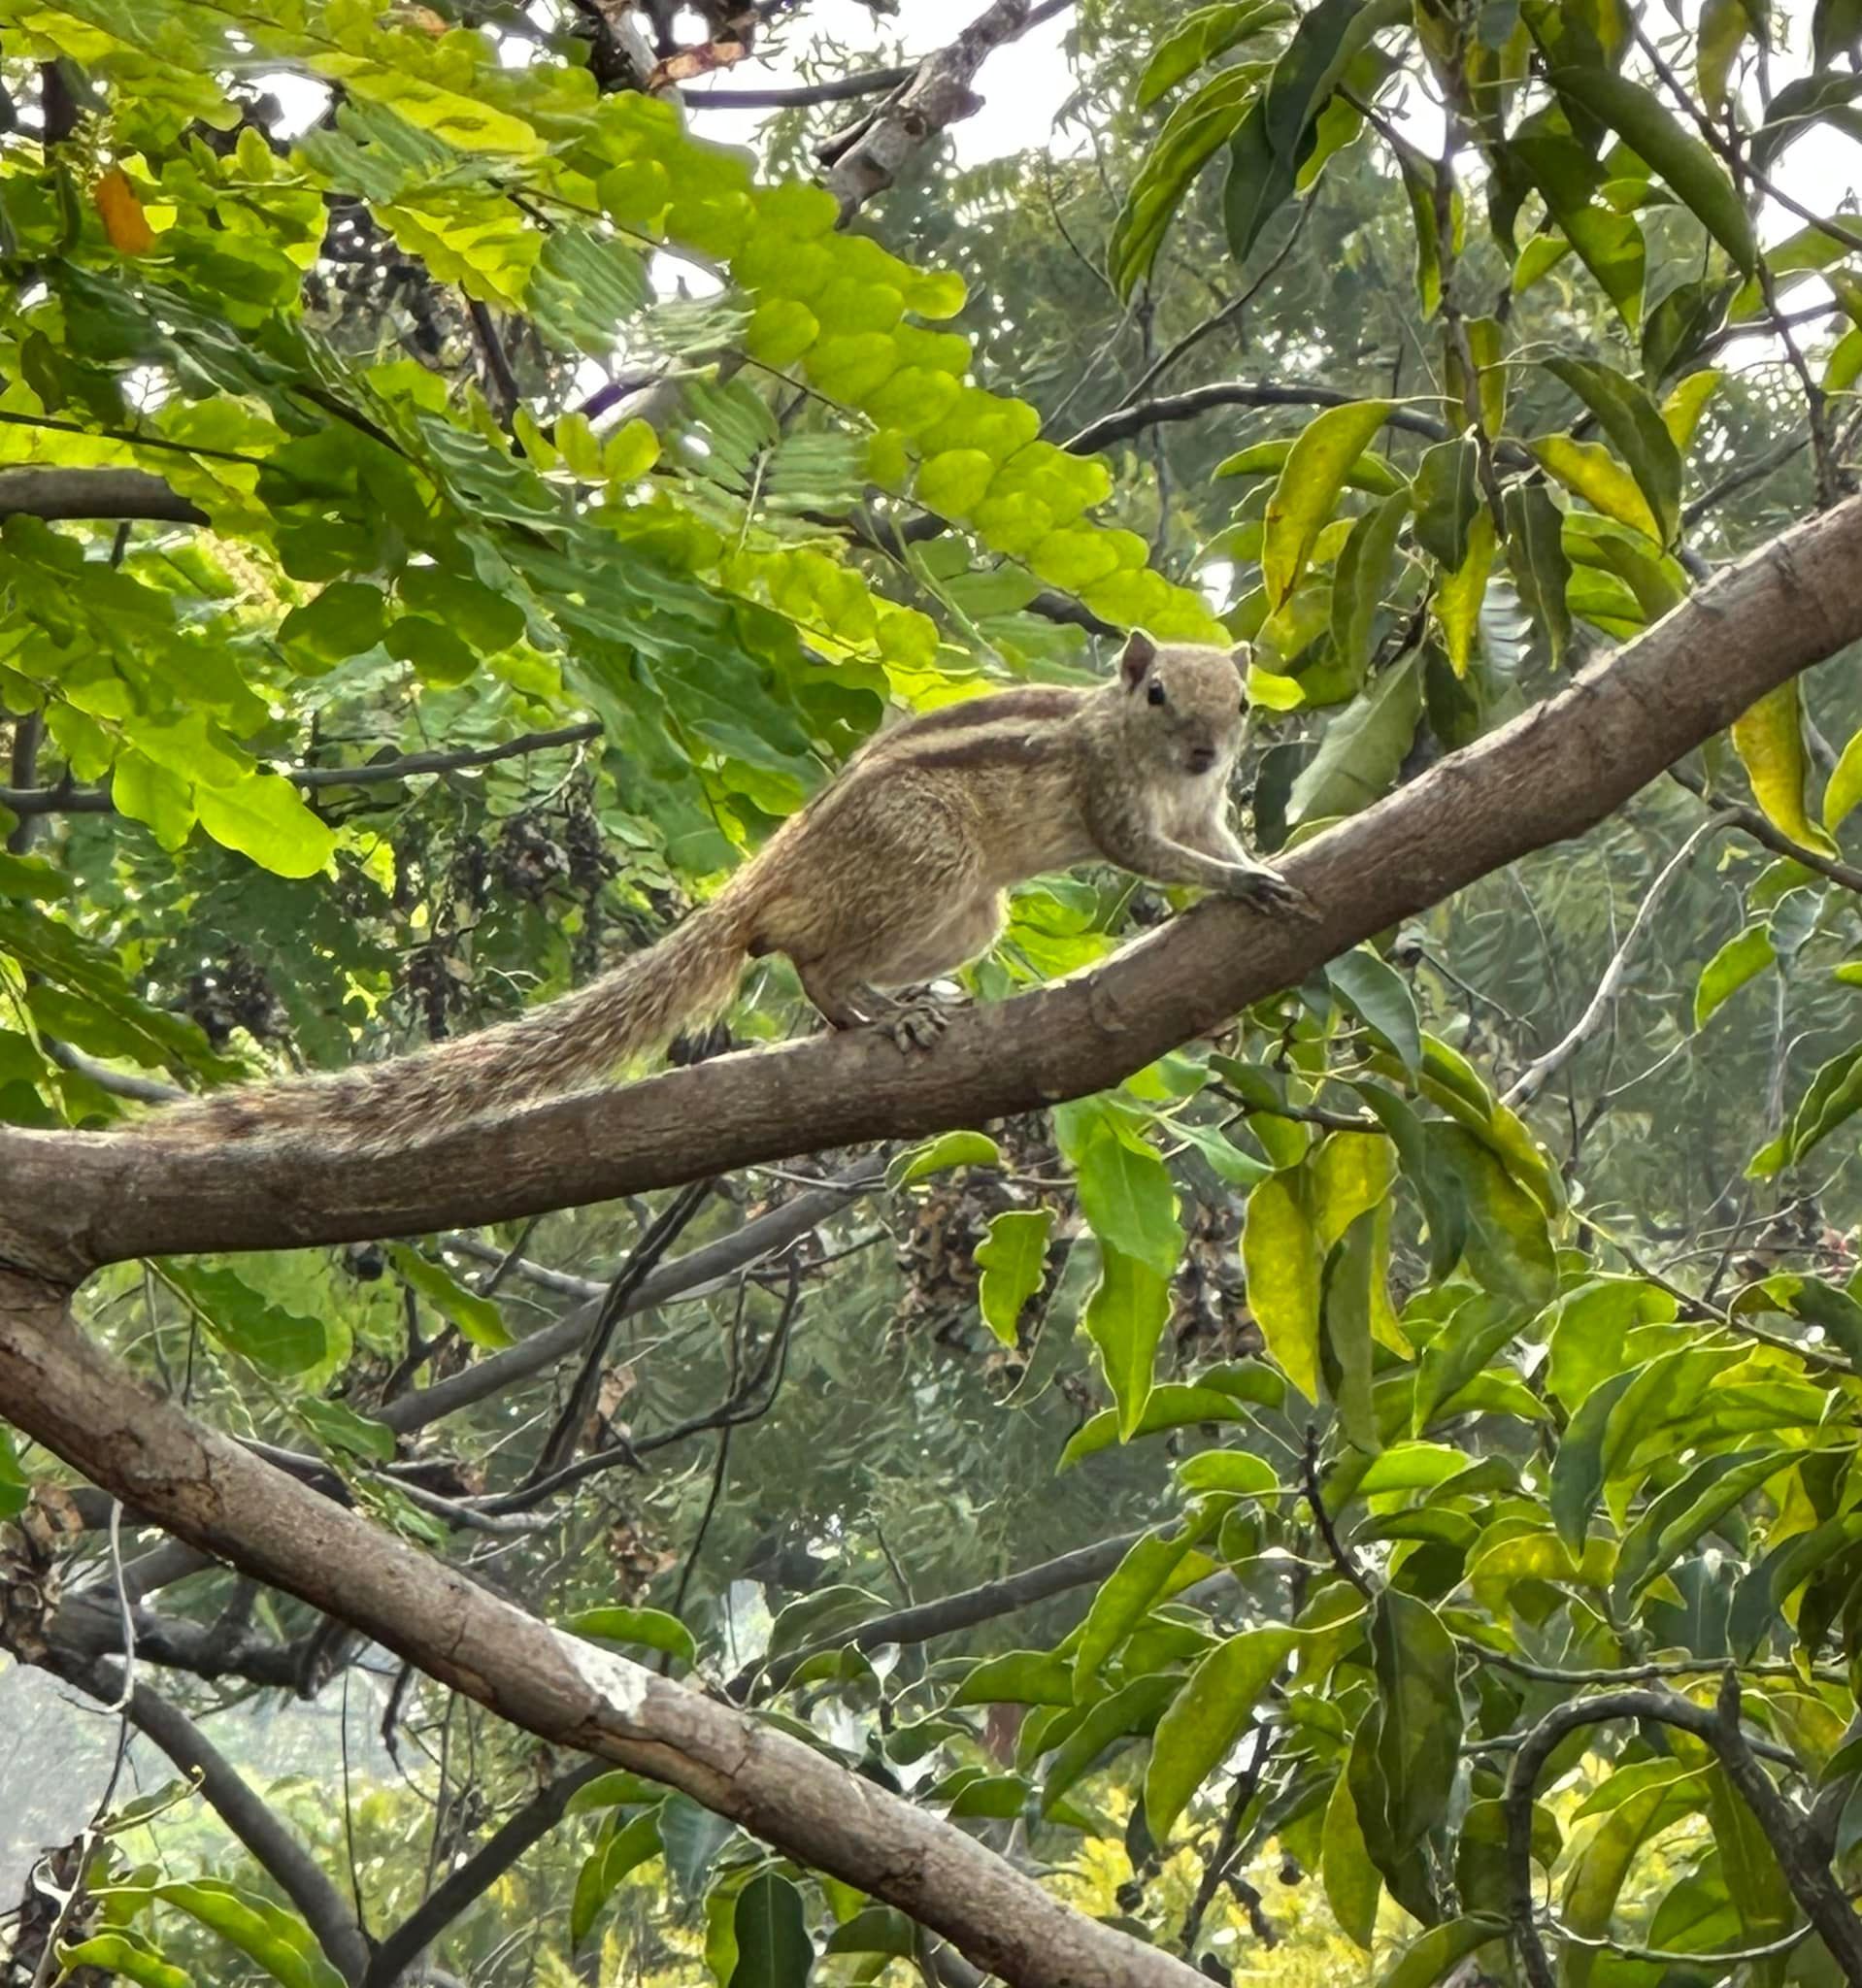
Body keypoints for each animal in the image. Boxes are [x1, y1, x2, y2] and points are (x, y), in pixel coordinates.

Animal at [137, 631, 1310, 1151]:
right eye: (1157, 693)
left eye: (1243, 701)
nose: (1207, 748)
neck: (1156, 763)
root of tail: (770, 870)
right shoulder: (1114, 798)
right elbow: (1149, 853)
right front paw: (1244, 880)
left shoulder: (1196, 803)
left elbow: (1205, 839)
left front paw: (1262, 861)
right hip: (930, 866)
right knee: (808, 958)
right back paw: (880, 1013)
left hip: (971, 918)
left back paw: (907, 1000)